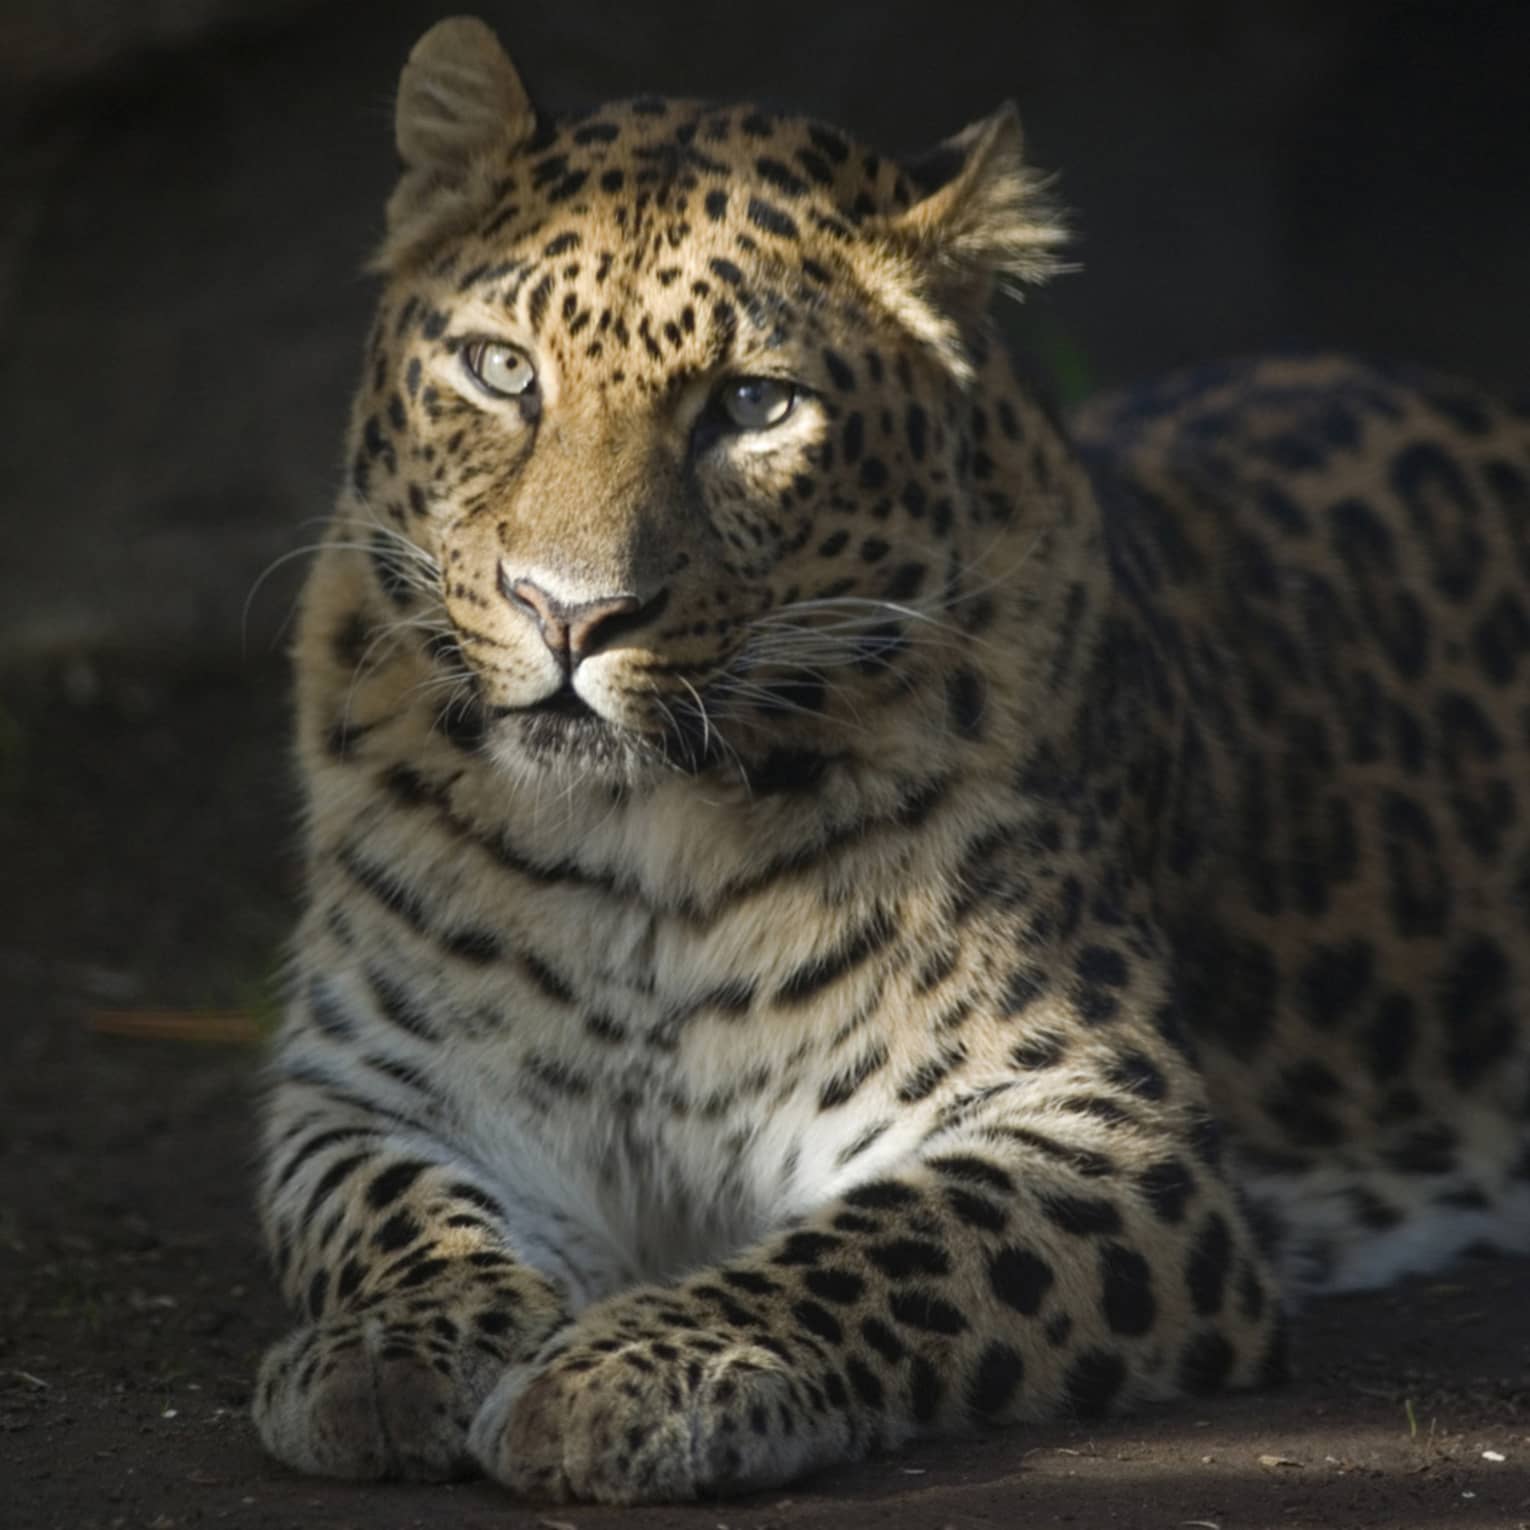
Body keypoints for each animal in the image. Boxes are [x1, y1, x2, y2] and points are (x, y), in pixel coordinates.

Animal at [250, 14, 1530, 1504]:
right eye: (503, 370)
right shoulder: (375, 1088)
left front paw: (639, 1370)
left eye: (753, 406)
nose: (568, 612)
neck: (630, 841)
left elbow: (888, 1246)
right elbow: (384, 1214)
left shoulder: (1101, 1128)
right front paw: (387, 1347)